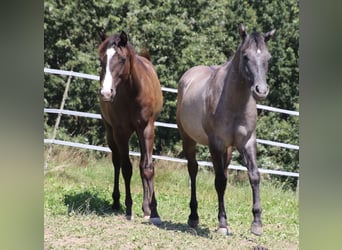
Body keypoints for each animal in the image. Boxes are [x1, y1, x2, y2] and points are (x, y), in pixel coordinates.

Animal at [98, 30, 164, 225]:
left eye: (122, 59)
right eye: (101, 60)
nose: (106, 93)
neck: (133, 93)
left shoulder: (147, 129)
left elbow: (147, 168)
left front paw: (153, 211)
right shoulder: (120, 132)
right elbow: (126, 168)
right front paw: (128, 209)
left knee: (142, 165)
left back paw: (146, 208)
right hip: (110, 132)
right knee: (116, 162)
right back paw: (116, 202)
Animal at [176, 24, 276, 235]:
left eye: (268, 57)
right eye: (245, 56)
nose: (261, 91)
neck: (234, 102)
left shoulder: (247, 141)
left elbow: (254, 176)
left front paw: (257, 223)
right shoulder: (216, 143)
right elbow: (220, 181)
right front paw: (222, 223)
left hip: (228, 150)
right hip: (188, 138)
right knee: (193, 169)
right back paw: (193, 216)